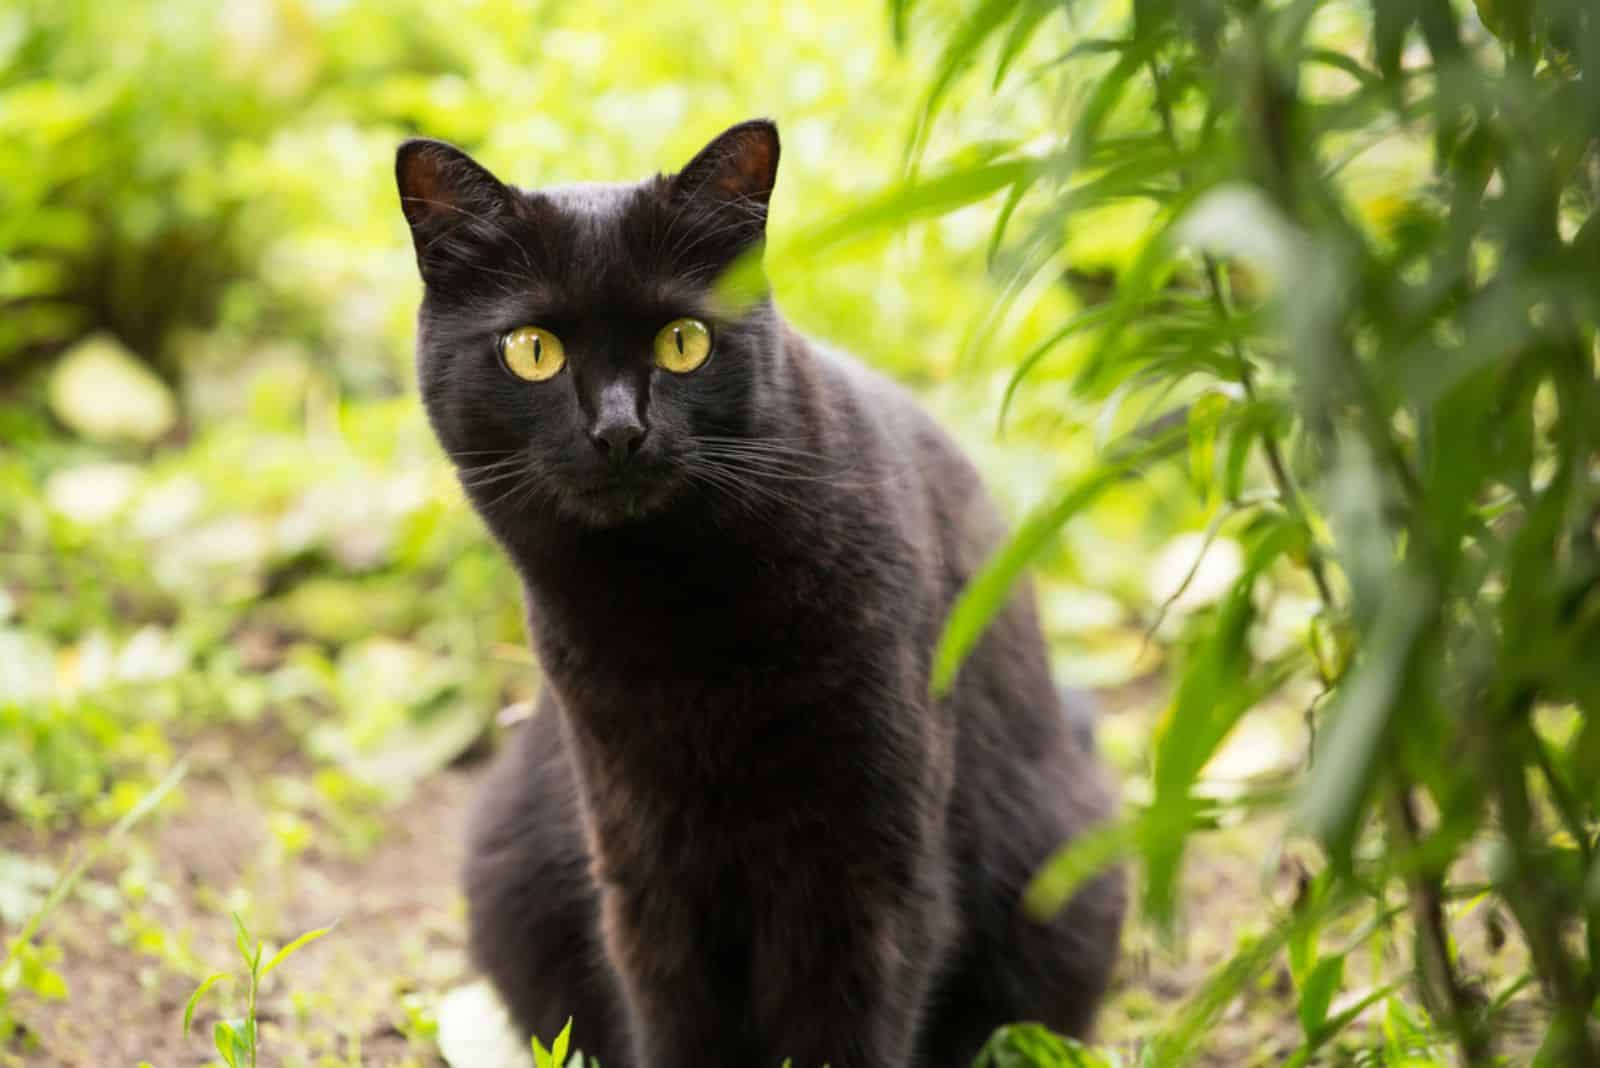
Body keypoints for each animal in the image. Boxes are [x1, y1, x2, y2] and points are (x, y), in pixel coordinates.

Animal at [398, 119, 1126, 1068]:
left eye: (683, 342)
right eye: (533, 351)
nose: (619, 430)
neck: (673, 619)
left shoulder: (867, 874)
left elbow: (843, 1030)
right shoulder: (644, 872)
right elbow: (675, 1023)